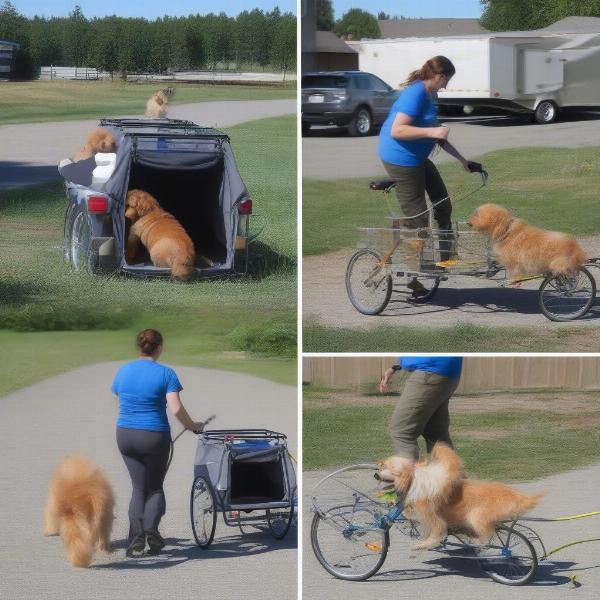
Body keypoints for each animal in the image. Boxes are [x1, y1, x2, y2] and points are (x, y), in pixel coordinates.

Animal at [376, 442, 544, 552]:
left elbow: (436, 530)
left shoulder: (432, 514)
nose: (376, 475)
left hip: (476, 516)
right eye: (382, 466)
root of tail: (516, 496)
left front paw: (424, 544)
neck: (414, 480)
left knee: (488, 533)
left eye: (391, 470)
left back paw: (477, 542)